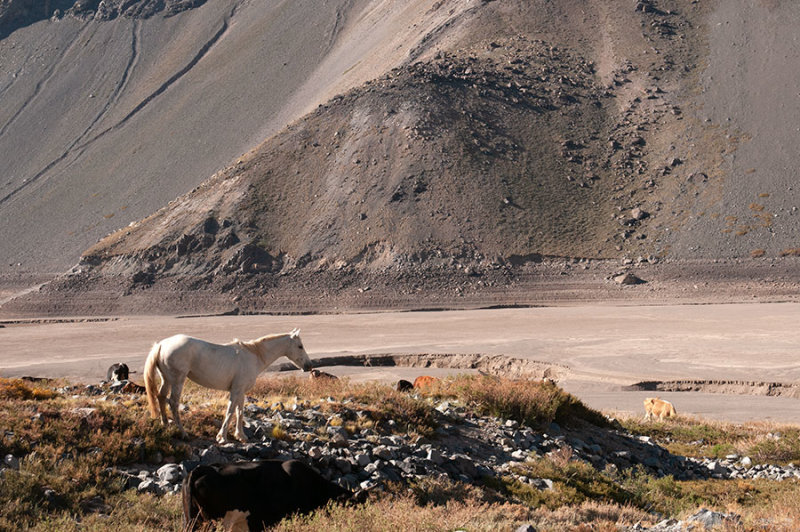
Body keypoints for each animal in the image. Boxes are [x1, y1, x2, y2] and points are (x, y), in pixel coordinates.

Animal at [142, 328, 310, 444]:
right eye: (300, 346)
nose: (308, 365)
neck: (254, 355)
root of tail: (161, 344)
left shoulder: (241, 391)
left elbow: (239, 412)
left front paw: (241, 436)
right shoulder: (235, 391)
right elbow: (230, 411)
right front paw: (222, 437)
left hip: (167, 379)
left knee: (161, 397)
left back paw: (165, 425)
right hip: (178, 380)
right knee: (173, 402)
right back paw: (183, 433)